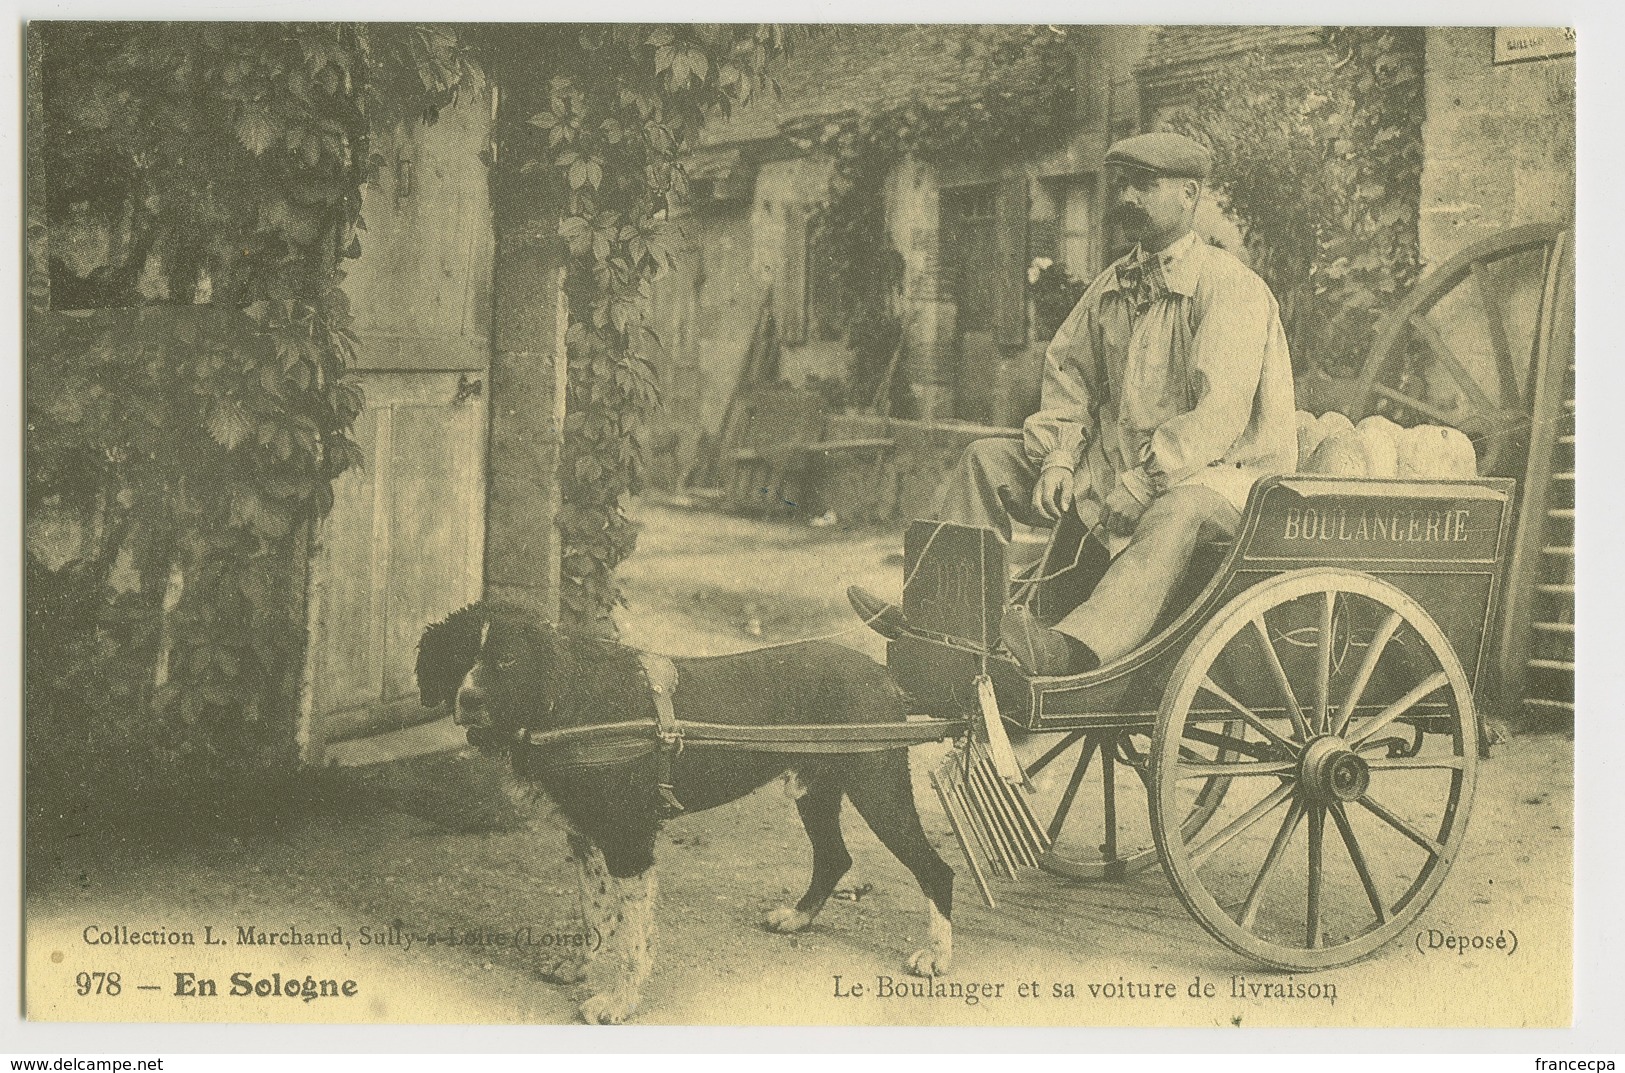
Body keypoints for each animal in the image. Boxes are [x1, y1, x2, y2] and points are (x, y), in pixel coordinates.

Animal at [412, 604, 955, 1020]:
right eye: (457, 657)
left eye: (507, 661)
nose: (469, 700)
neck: (571, 704)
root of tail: (883, 674)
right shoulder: (586, 837)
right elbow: (595, 911)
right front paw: (578, 965)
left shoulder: (630, 843)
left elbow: (633, 938)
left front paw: (618, 1002)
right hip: (816, 789)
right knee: (834, 857)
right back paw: (798, 919)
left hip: (877, 789)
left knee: (935, 869)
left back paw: (936, 956)